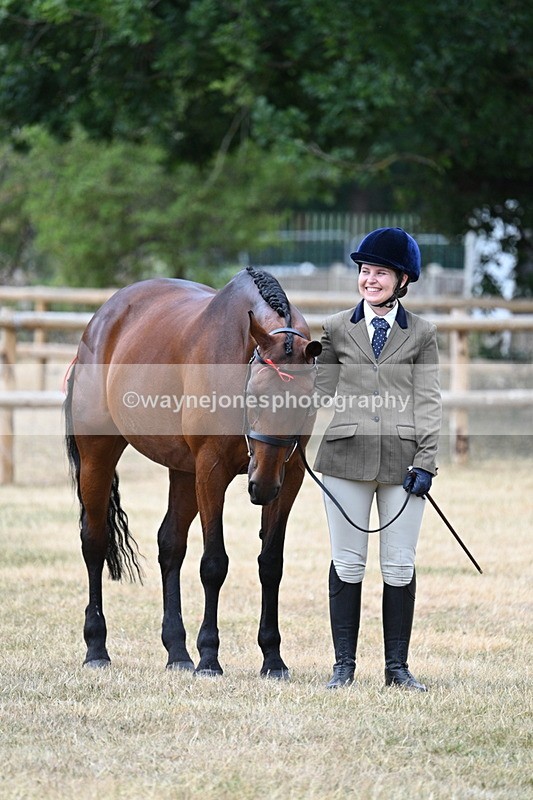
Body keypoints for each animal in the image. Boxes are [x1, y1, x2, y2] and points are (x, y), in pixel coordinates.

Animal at [64, 266, 322, 678]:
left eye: (305, 402)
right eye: (255, 395)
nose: (262, 486)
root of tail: (101, 321)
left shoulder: (290, 476)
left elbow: (271, 564)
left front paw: (272, 657)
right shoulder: (211, 470)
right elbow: (214, 564)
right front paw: (210, 657)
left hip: (183, 471)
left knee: (170, 545)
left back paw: (177, 652)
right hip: (98, 455)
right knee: (94, 541)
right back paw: (97, 649)